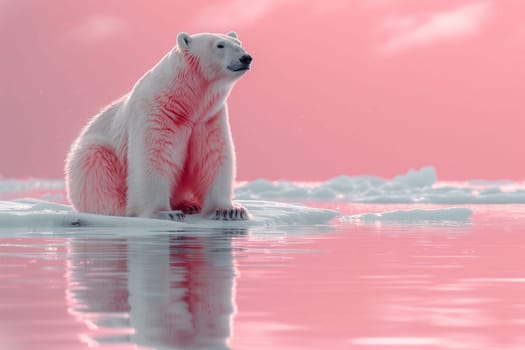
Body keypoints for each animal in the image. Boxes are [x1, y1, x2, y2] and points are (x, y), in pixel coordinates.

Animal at [64, 31, 253, 220]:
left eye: (239, 43)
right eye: (220, 45)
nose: (246, 58)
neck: (184, 103)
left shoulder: (208, 118)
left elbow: (214, 156)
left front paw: (230, 210)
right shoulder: (156, 113)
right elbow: (154, 156)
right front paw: (165, 213)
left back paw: (189, 204)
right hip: (95, 154)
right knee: (95, 165)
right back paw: (122, 209)